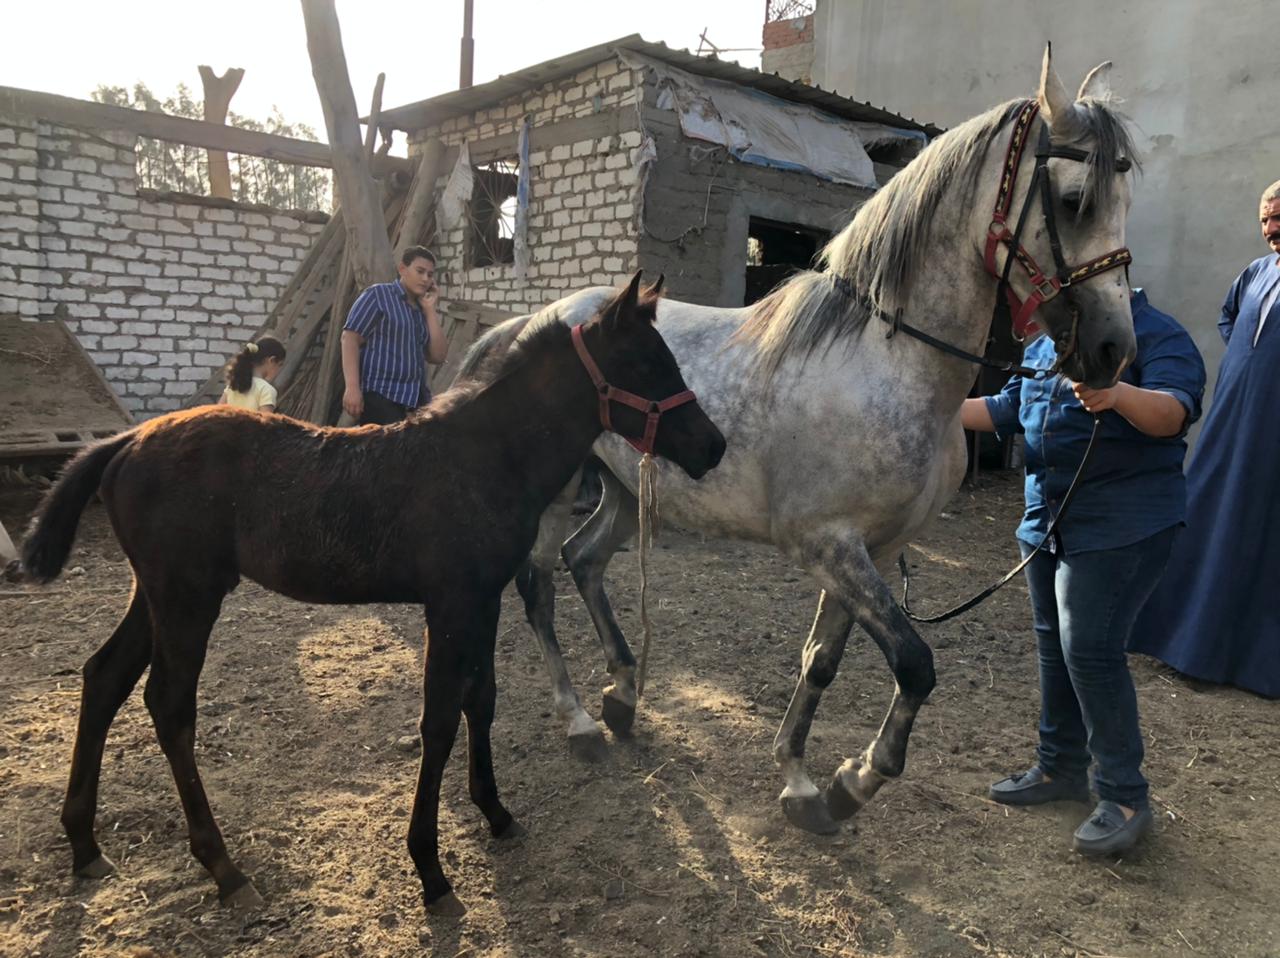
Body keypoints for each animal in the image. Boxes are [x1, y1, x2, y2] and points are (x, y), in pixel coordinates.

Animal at [458, 48, 1131, 835]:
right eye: (1074, 201)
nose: (1113, 350)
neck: (888, 362)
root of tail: (527, 323)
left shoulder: (873, 552)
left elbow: (822, 661)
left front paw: (804, 783)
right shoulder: (828, 546)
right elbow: (914, 663)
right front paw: (855, 780)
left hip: (628, 489)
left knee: (584, 561)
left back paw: (622, 696)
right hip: (560, 487)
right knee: (538, 582)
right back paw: (579, 722)